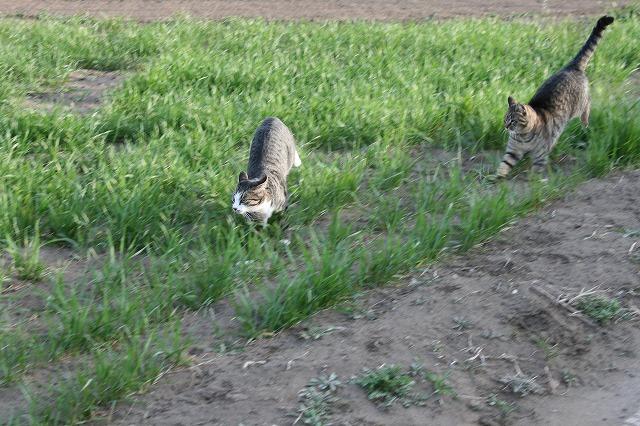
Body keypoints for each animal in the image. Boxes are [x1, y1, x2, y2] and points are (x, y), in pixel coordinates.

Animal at [496, 15, 614, 179]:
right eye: (505, 119)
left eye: (512, 121)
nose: (506, 127)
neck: (523, 137)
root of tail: (572, 67)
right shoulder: (512, 152)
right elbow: (503, 165)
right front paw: (496, 178)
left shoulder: (540, 155)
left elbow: (536, 171)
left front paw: (534, 182)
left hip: (580, 105)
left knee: (588, 104)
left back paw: (585, 122)